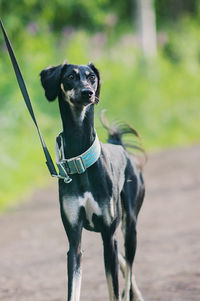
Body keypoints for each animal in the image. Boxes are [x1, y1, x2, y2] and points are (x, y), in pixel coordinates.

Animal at [39, 62, 145, 298]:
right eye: (70, 76)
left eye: (92, 77)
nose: (88, 92)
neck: (82, 160)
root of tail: (120, 147)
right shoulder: (74, 241)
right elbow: (74, 289)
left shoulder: (108, 234)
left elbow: (114, 290)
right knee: (125, 263)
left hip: (129, 228)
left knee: (129, 268)